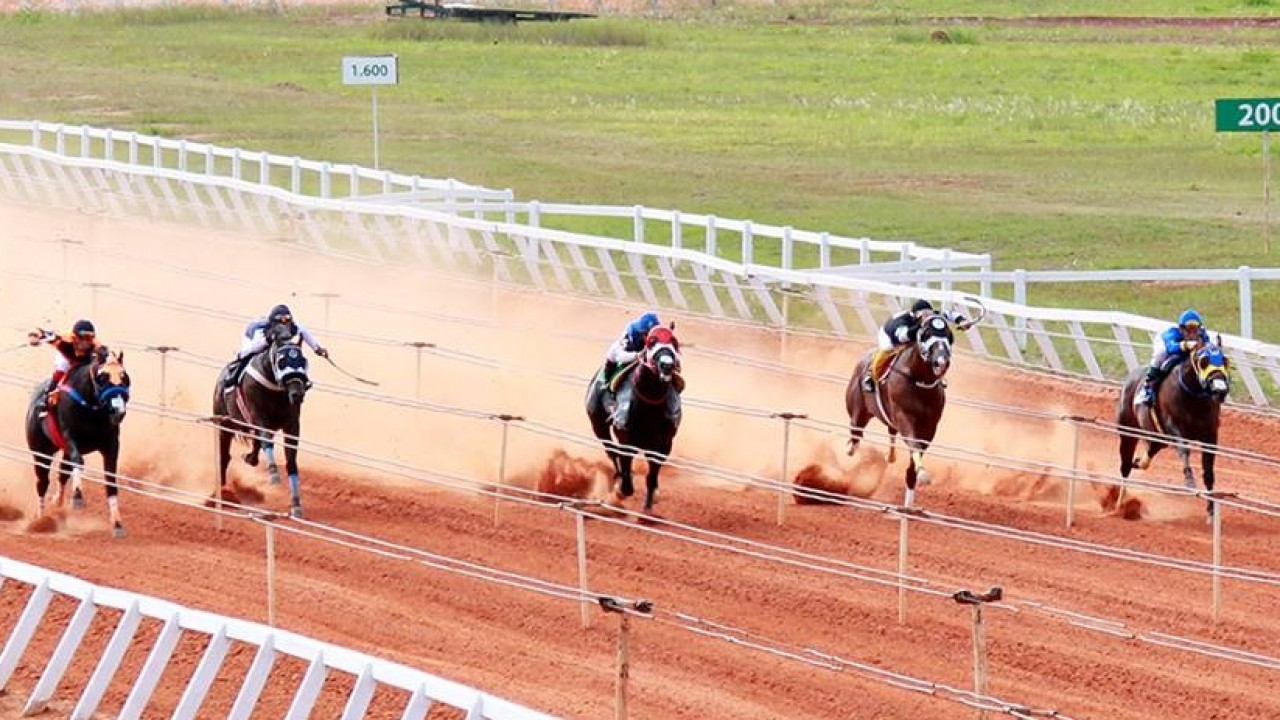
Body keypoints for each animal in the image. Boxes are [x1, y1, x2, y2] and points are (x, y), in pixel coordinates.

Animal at [844, 313, 957, 504]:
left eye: (949, 335)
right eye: (926, 333)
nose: (942, 361)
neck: (919, 382)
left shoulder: (930, 427)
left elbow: (915, 457)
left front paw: (910, 501)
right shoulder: (904, 417)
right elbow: (913, 444)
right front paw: (923, 475)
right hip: (858, 412)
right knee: (855, 436)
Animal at [1121, 338, 1228, 515]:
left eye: (1225, 360)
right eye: (1204, 361)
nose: (1220, 390)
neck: (1193, 399)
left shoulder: (1210, 435)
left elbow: (1208, 470)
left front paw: (1211, 509)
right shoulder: (1173, 426)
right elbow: (1184, 449)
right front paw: (1189, 480)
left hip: (1157, 438)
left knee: (1149, 451)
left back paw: (1137, 462)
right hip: (1127, 431)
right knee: (1124, 466)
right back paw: (1119, 503)